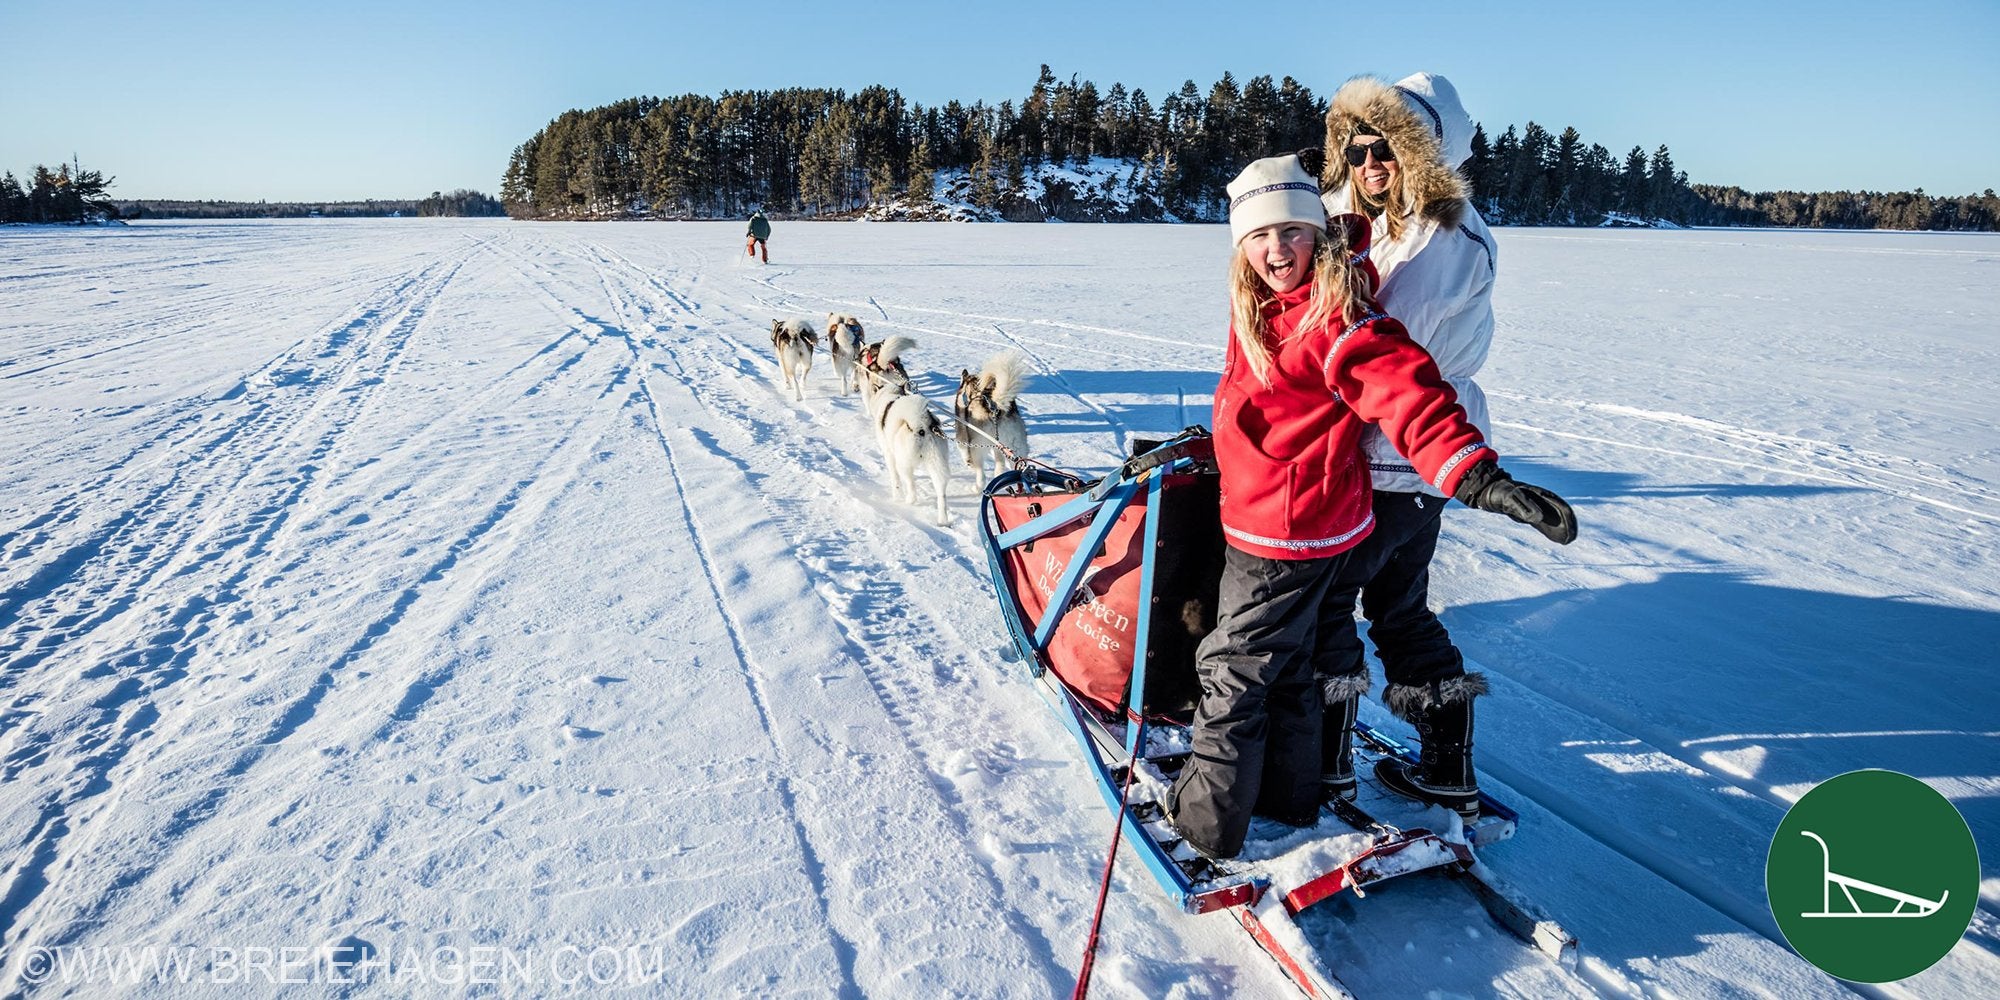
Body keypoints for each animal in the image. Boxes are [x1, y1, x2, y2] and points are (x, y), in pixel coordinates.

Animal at [864, 372, 948, 528]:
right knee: (941, 495)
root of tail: (921, 426)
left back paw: (908, 500)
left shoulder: (889, 454)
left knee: (911, 486)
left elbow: (895, 479)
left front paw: (896, 496)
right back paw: (943, 520)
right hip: (937, 465)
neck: (890, 395)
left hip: (903, 464)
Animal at [952, 348, 1032, 480]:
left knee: (981, 473)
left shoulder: (962, 434)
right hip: (1014, 446)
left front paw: (969, 464)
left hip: (978, 446)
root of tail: (996, 407)